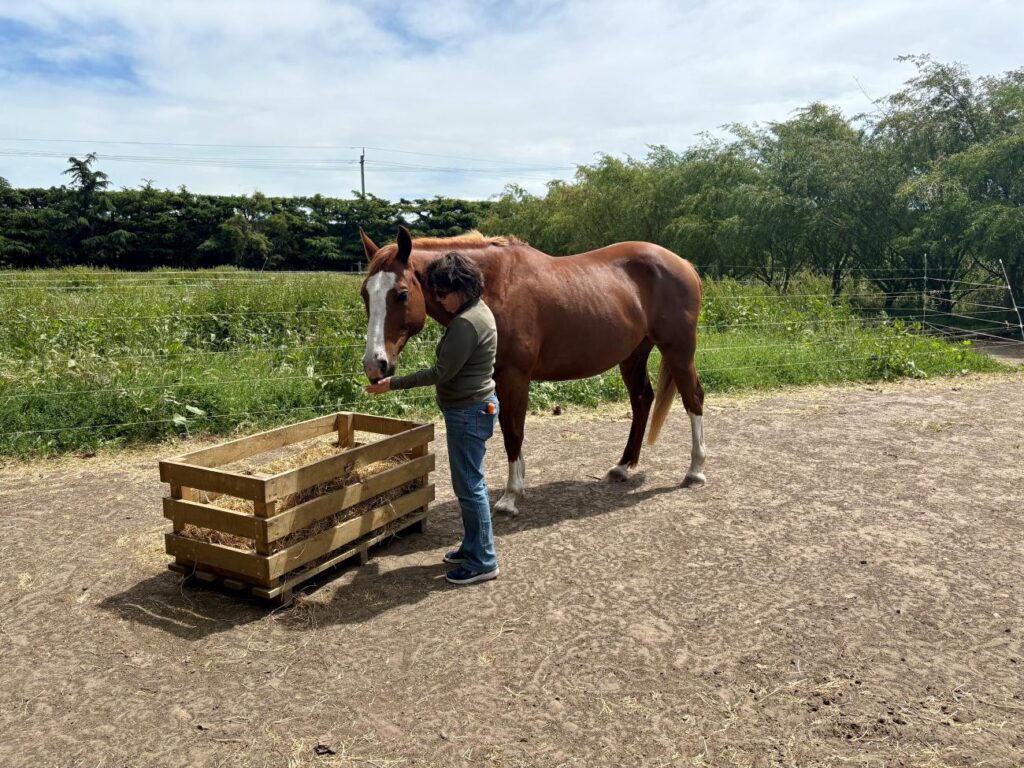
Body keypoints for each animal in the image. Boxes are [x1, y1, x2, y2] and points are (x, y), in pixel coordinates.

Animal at [359, 225, 706, 516]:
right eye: (365, 293)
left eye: (402, 293)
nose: (375, 364)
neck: (496, 285)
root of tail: (682, 263)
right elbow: (507, 430)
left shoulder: (515, 376)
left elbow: (513, 431)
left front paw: (511, 496)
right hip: (634, 355)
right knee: (642, 400)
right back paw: (622, 467)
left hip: (678, 349)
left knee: (693, 399)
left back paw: (695, 470)